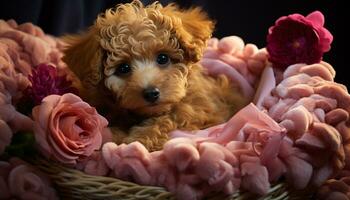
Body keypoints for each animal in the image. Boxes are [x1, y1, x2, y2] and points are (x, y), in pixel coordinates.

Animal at [62, 0, 246, 150]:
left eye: (163, 58)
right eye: (123, 68)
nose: (151, 93)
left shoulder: (201, 110)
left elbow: (170, 116)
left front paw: (141, 139)